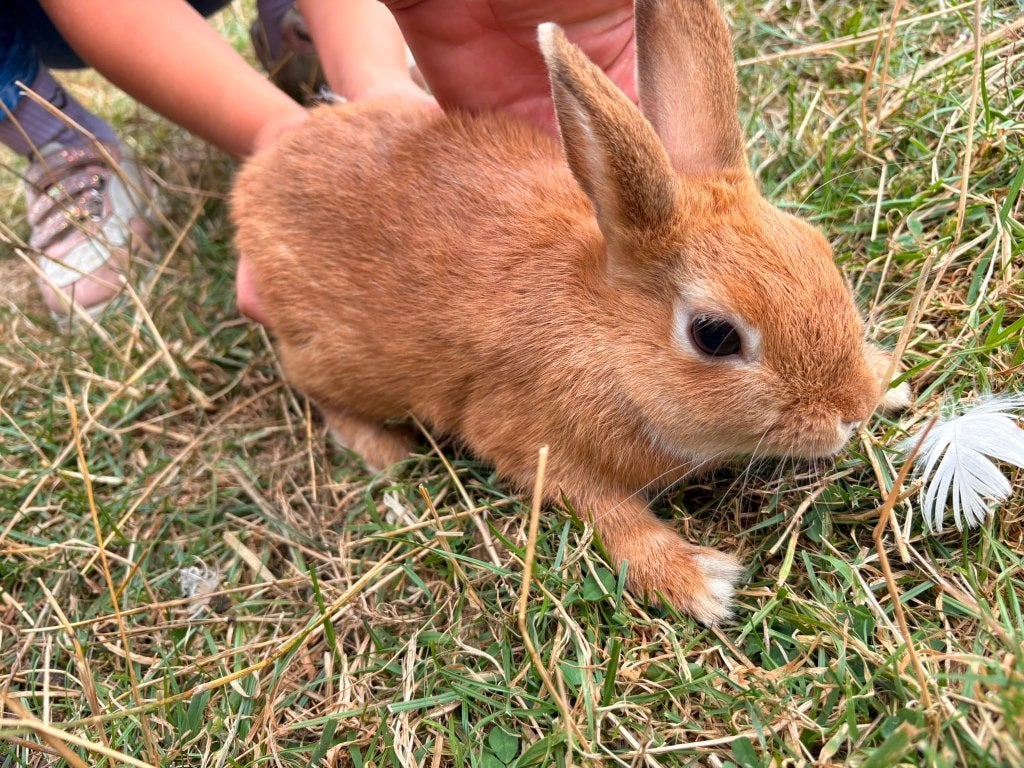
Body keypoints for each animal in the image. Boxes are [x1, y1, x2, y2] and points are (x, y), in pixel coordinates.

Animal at [231, 0, 910, 625]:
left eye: (818, 248)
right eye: (715, 336)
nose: (849, 412)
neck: (606, 338)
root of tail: (255, 183)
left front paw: (890, 379)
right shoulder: (525, 438)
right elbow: (609, 513)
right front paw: (697, 580)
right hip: (331, 355)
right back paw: (382, 450)